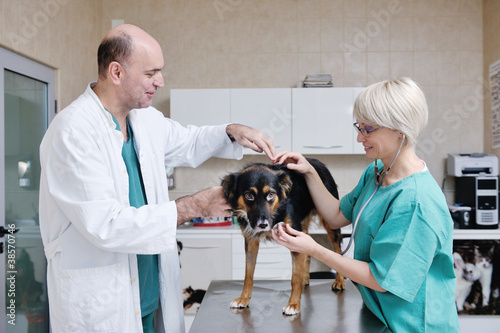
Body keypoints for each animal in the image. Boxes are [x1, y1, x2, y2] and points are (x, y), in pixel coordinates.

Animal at [222, 158, 344, 314]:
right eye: (249, 195)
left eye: (271, 194)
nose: (263, 225)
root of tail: (317, 161)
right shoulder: (251, 240)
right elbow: (248, 274)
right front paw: (243, 298)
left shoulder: (295, 238)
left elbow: (295, 277)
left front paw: (293, 304)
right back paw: (306, 279)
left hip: (330, 221)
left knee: (338, 251)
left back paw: (339, 281)